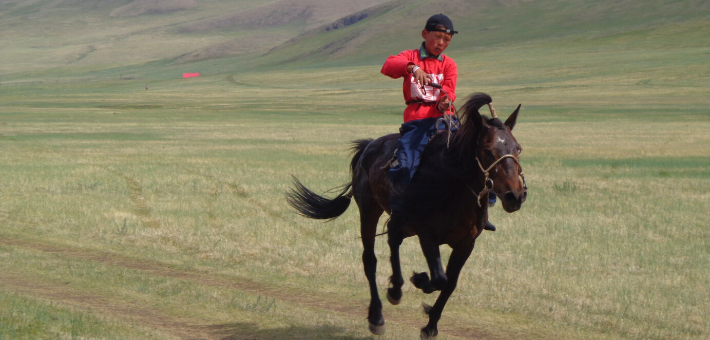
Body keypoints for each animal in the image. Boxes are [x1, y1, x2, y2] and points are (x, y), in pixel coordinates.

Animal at [290, 91, 528, 338]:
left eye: (518, 149)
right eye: (488, 150)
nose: (515, 196)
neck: (453, 184)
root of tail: (367, 147)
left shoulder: (466, 243)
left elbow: (450, 283)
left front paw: (431, 324)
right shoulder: (426, 234)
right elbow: (440, 278)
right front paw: (420, 280)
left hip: (400, 221)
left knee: (393, 240)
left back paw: (396, 288)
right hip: (369, 211)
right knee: (370, 259)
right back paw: (377, 315)